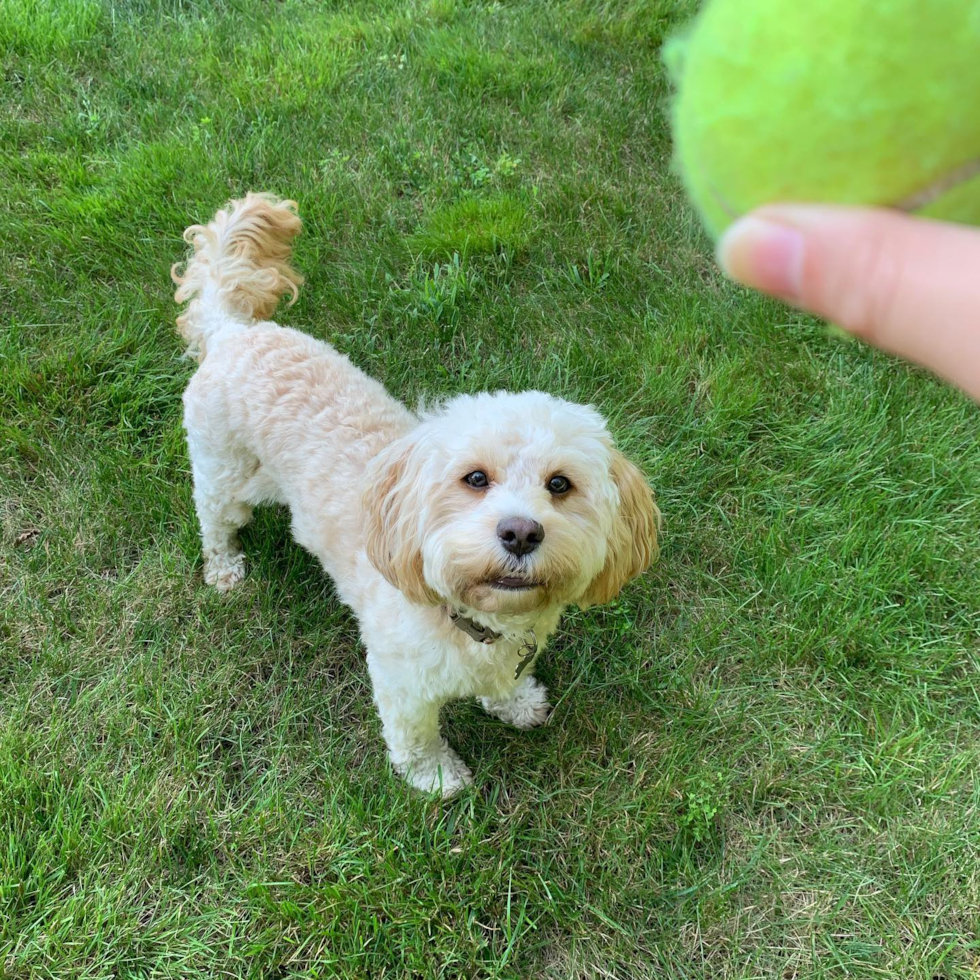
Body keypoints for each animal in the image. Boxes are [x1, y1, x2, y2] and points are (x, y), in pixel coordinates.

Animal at [172, 193, 664, 796]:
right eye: (474, 478)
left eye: (559, 484)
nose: (521, 533)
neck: (474, 621)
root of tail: (234, 332)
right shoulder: (402, 681)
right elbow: (414, 734)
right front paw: (437, 776)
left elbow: (507, 685)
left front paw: (516, 702)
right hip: (224, 472)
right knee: (215, 521)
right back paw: (224, 569)